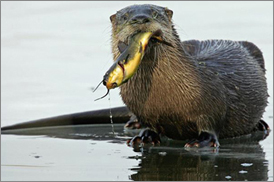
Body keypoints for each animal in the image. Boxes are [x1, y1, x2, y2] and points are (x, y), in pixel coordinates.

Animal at [108, 3, 268, 147]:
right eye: (125, 16)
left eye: (155, 13)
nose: (140, 18)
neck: (164, 96)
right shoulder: (143, 111)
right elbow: (149, 126)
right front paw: (144, 136)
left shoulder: (213, 100)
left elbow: (212, 124)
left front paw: (202, 141)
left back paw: (261, 124)